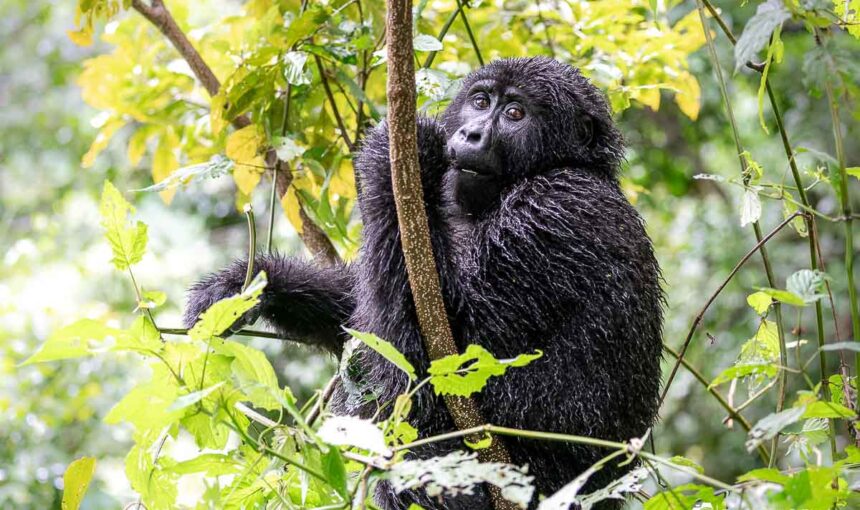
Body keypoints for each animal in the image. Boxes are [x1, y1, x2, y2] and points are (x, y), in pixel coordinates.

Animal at [185, 57, 664, 509]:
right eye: (480, 102)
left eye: (515, 113)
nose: (471, 133)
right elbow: (358, 313)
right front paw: (246, 287)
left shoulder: (554, 210)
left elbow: (450, 348)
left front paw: (396, 154)